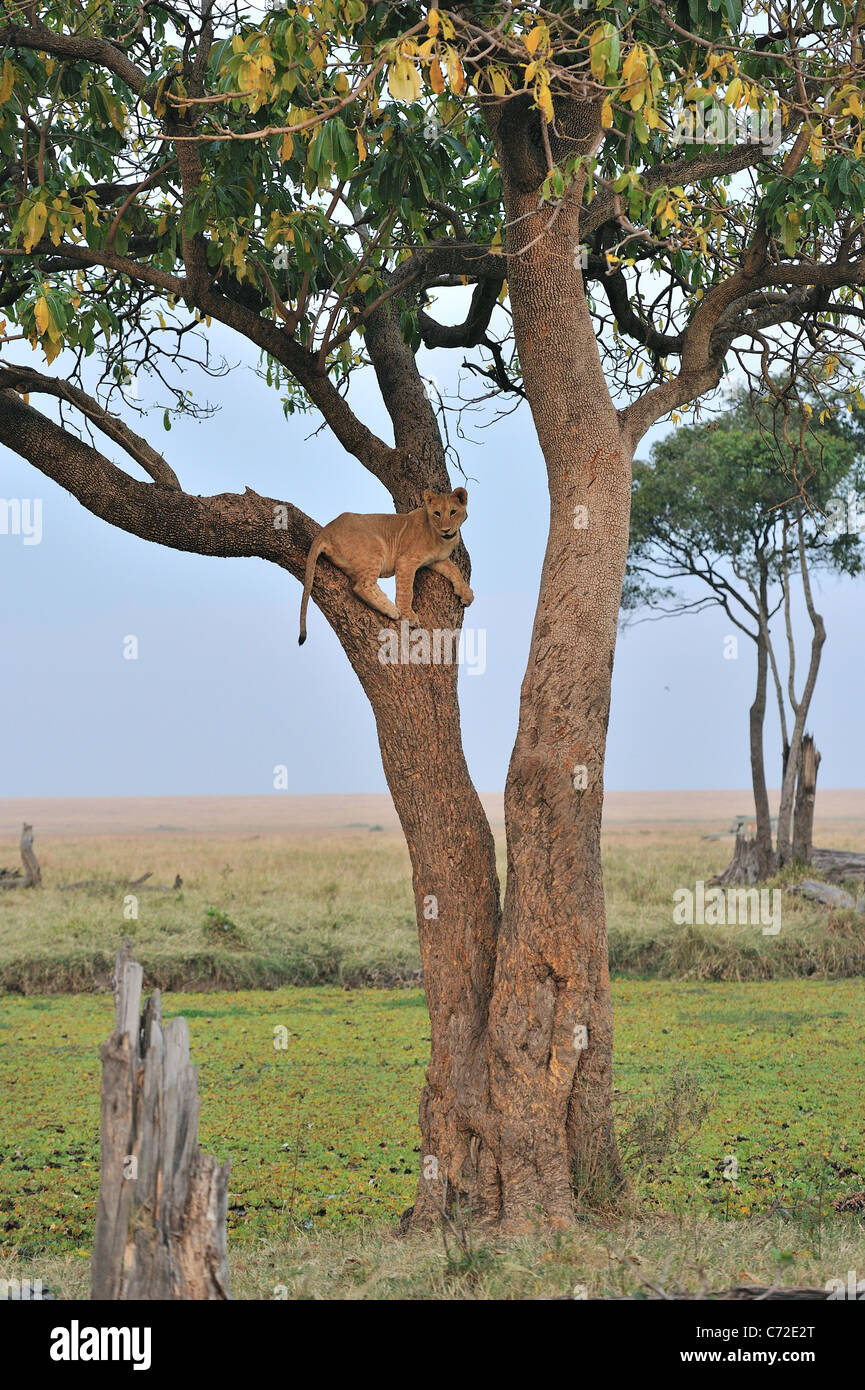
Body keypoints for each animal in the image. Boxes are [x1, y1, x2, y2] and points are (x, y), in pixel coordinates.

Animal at [298, 487, 473, 644]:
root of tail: (327, 529)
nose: (446, 529)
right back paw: (392, 610)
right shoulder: (406, 561)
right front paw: (408, 616)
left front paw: (466, 594)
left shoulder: (436, 560)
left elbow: (455, 570)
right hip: (375, 547)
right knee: (361, 586)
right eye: (437, 513)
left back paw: (386, 602)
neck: (442, 539)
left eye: (453, 511)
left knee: (365, 583)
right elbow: (406, 590)